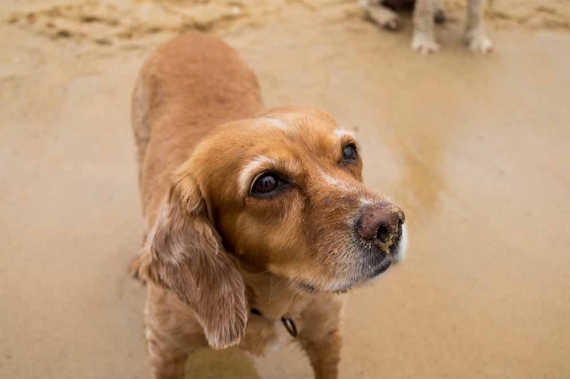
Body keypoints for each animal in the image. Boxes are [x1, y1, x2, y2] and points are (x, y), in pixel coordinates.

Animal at [130, 33, 404, 379]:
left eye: (349, 151)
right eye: (267, 183)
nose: (389, 225)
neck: (268, 305)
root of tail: (190, 34)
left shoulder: (327, 334)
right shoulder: (165, 347)